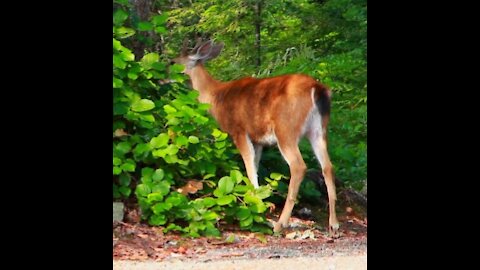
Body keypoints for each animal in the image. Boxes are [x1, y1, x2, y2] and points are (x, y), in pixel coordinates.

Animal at [171, 39, 340, 235]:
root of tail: (317, 89)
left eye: (173, 62)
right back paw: (334, 224)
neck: (216, 97)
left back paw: (280, 224)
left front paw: (254, 204)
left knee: (298, 167)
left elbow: (249, 167)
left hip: (286, 130)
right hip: (318, 130)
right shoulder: (258, 140)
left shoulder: (239, 131)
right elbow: (255, 165)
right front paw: (258, 202)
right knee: (328, 166)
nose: (161, 77)